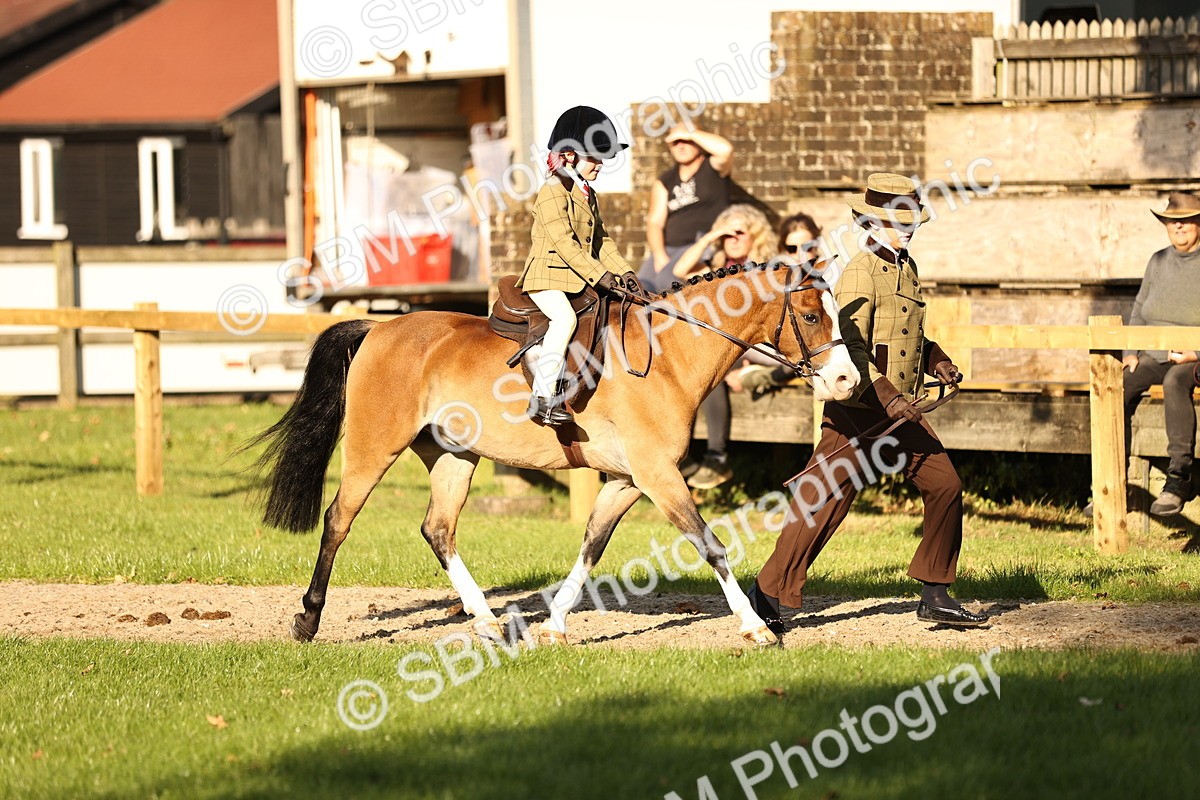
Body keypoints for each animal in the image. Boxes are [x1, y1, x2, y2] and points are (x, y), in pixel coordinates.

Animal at [249, 262, 859, 648]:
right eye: (811, 317)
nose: (848, 381)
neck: (667, 356)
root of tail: (379, 327)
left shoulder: (627, 480)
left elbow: (591, 547)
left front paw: (554, 626)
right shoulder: (658, 475)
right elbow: (710, 546)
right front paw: (755, 628)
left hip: (454, 457)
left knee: (438, 529)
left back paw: (488, 623)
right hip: (375, 446)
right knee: (338, 519)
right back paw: (308, 620)